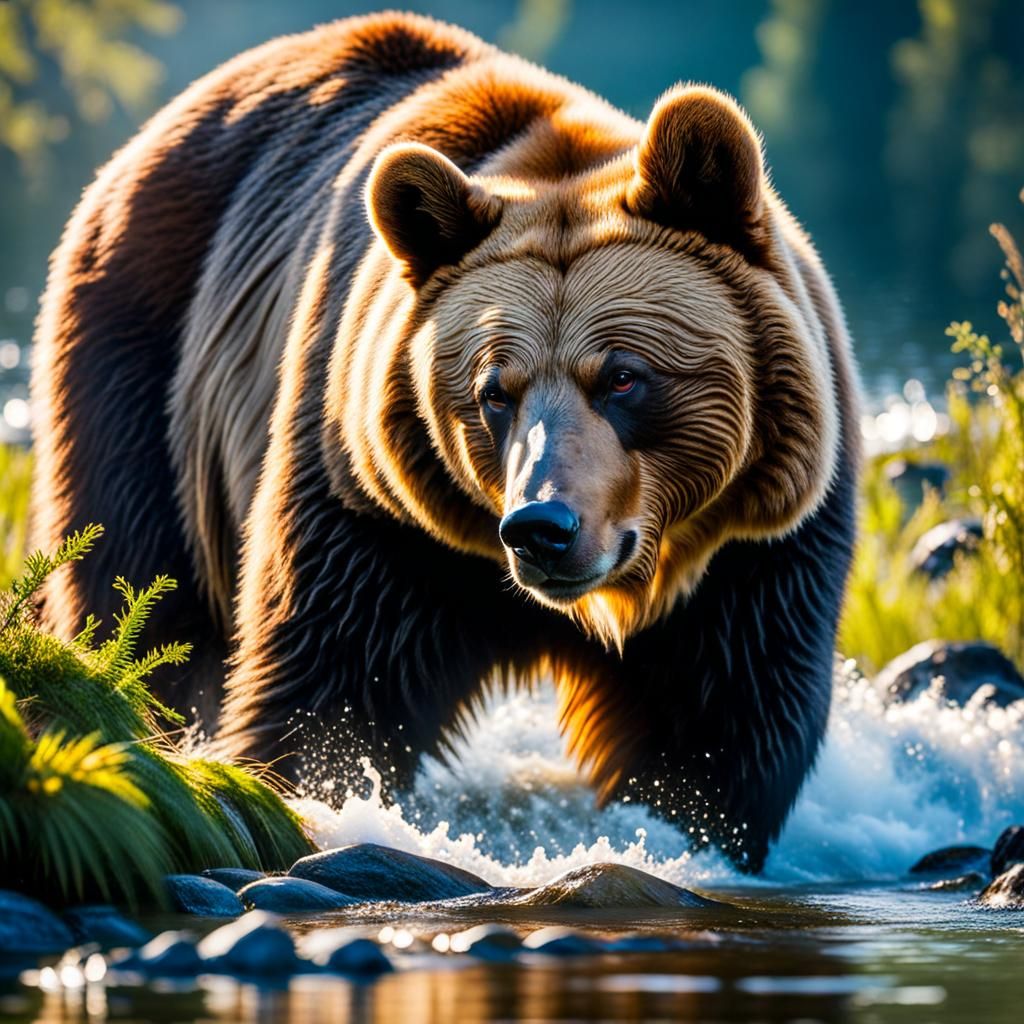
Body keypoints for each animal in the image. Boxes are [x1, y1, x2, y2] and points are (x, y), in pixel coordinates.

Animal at [31, 11, 858, 871]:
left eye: (623, 376)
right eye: (495, 390)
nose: (542, 527)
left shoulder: (752, 555)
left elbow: (720, 722)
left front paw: (680, 828)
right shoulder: (374, 513)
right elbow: (330, 678)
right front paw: (319, 791)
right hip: (143, 360)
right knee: (138, 587)